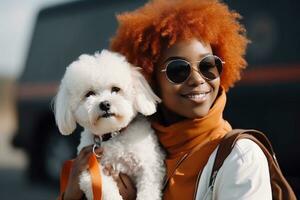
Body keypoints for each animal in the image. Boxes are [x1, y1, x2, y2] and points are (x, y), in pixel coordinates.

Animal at [54, 49, 166, 199]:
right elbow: (105, 190)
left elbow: (148, 190)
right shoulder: (90, 171)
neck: (112, 135)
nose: (105, 104)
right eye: (89, 94)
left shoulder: (150, 166)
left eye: (116, 89)